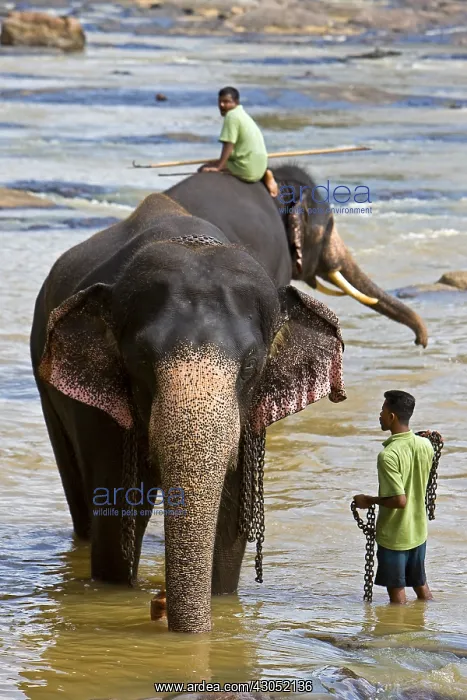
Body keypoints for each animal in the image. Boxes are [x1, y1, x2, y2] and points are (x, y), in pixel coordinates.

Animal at [30, 193, 346, 634]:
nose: (158, 605)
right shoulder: (102, 418)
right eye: (141, 359)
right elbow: (117, 512)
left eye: (251, 364)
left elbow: (230, 521)